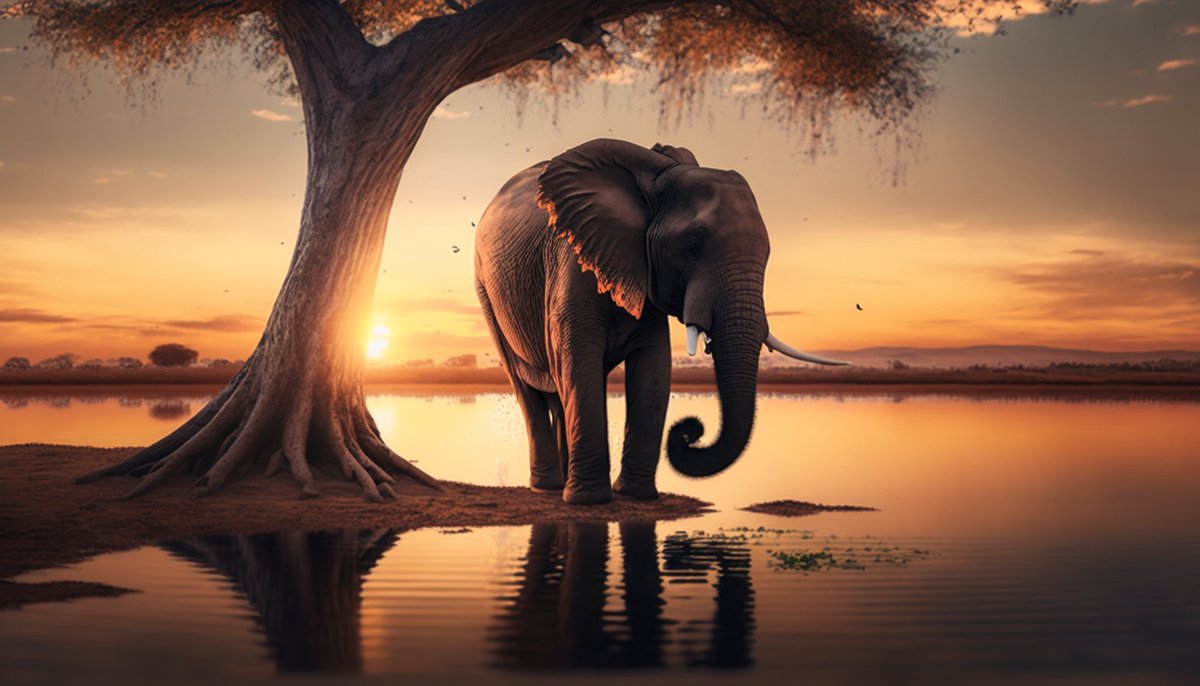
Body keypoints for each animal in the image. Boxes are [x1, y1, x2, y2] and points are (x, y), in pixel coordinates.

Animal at [474, 138, 845, 505]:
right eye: (693, 246)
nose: (690, 431)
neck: (655, 178)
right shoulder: (572, 260)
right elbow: (579, 362)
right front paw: (589, 501)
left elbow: (653, 369)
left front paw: (635, 496)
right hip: (485, 292)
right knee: (529, 389)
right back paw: (550, 488)